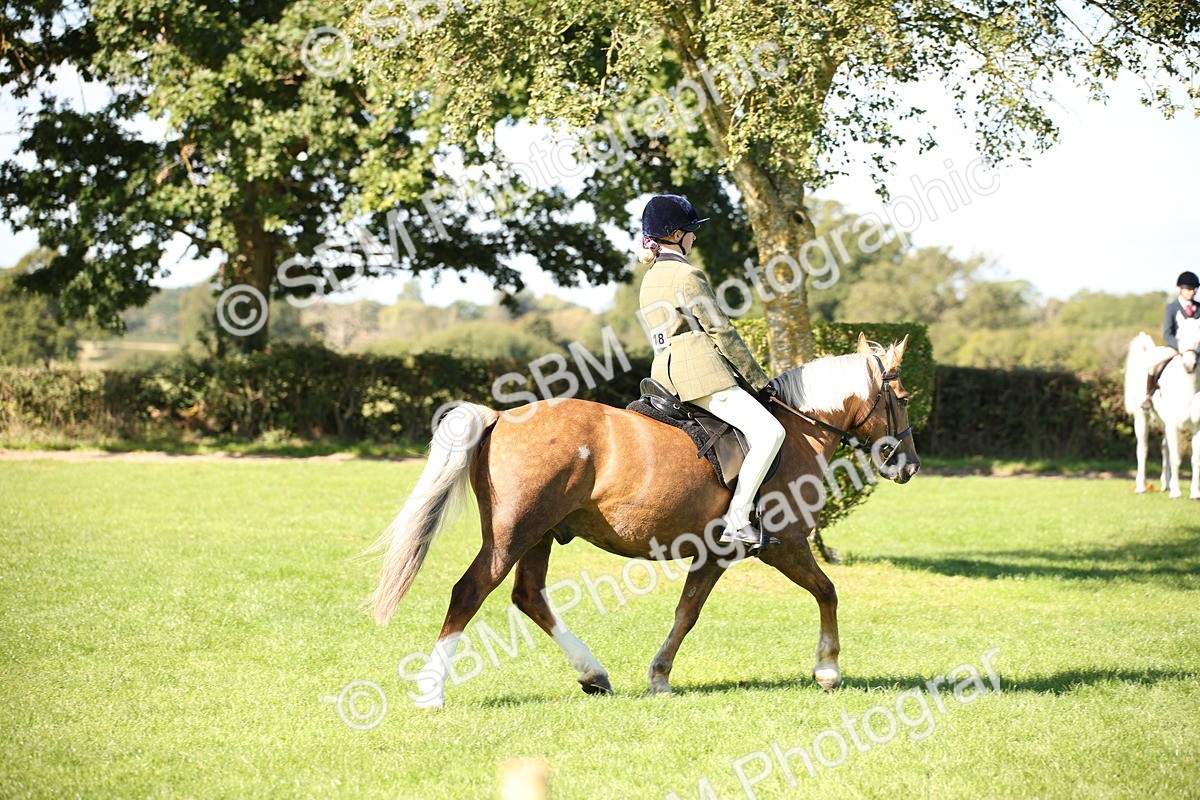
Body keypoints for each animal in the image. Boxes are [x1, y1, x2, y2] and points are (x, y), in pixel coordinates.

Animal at [368, 334, 920, 707]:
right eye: (903, 399)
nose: (908, 466)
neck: (797, 429)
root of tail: (502, 417)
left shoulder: (714, 554)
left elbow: (686, 613)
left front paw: (658, 676)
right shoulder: (786, 544)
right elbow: (827, 591)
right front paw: (827, 669)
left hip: (539, 535)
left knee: (529, 597)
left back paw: (593, 674)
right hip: (512, 534)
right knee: (470, 591)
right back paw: (432, 692)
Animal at [1124, 318, 1200, 498]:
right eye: (1179, 336)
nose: (1189, 365)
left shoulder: (1197, 427)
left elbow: (1195, 459)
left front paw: (1195, 493)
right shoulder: (1173, 425)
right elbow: (1176, 458)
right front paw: (1176, 493)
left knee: (1164, 449)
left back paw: (1166, 484)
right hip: (1141, 417)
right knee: (1142, 449)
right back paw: (1141, 487)